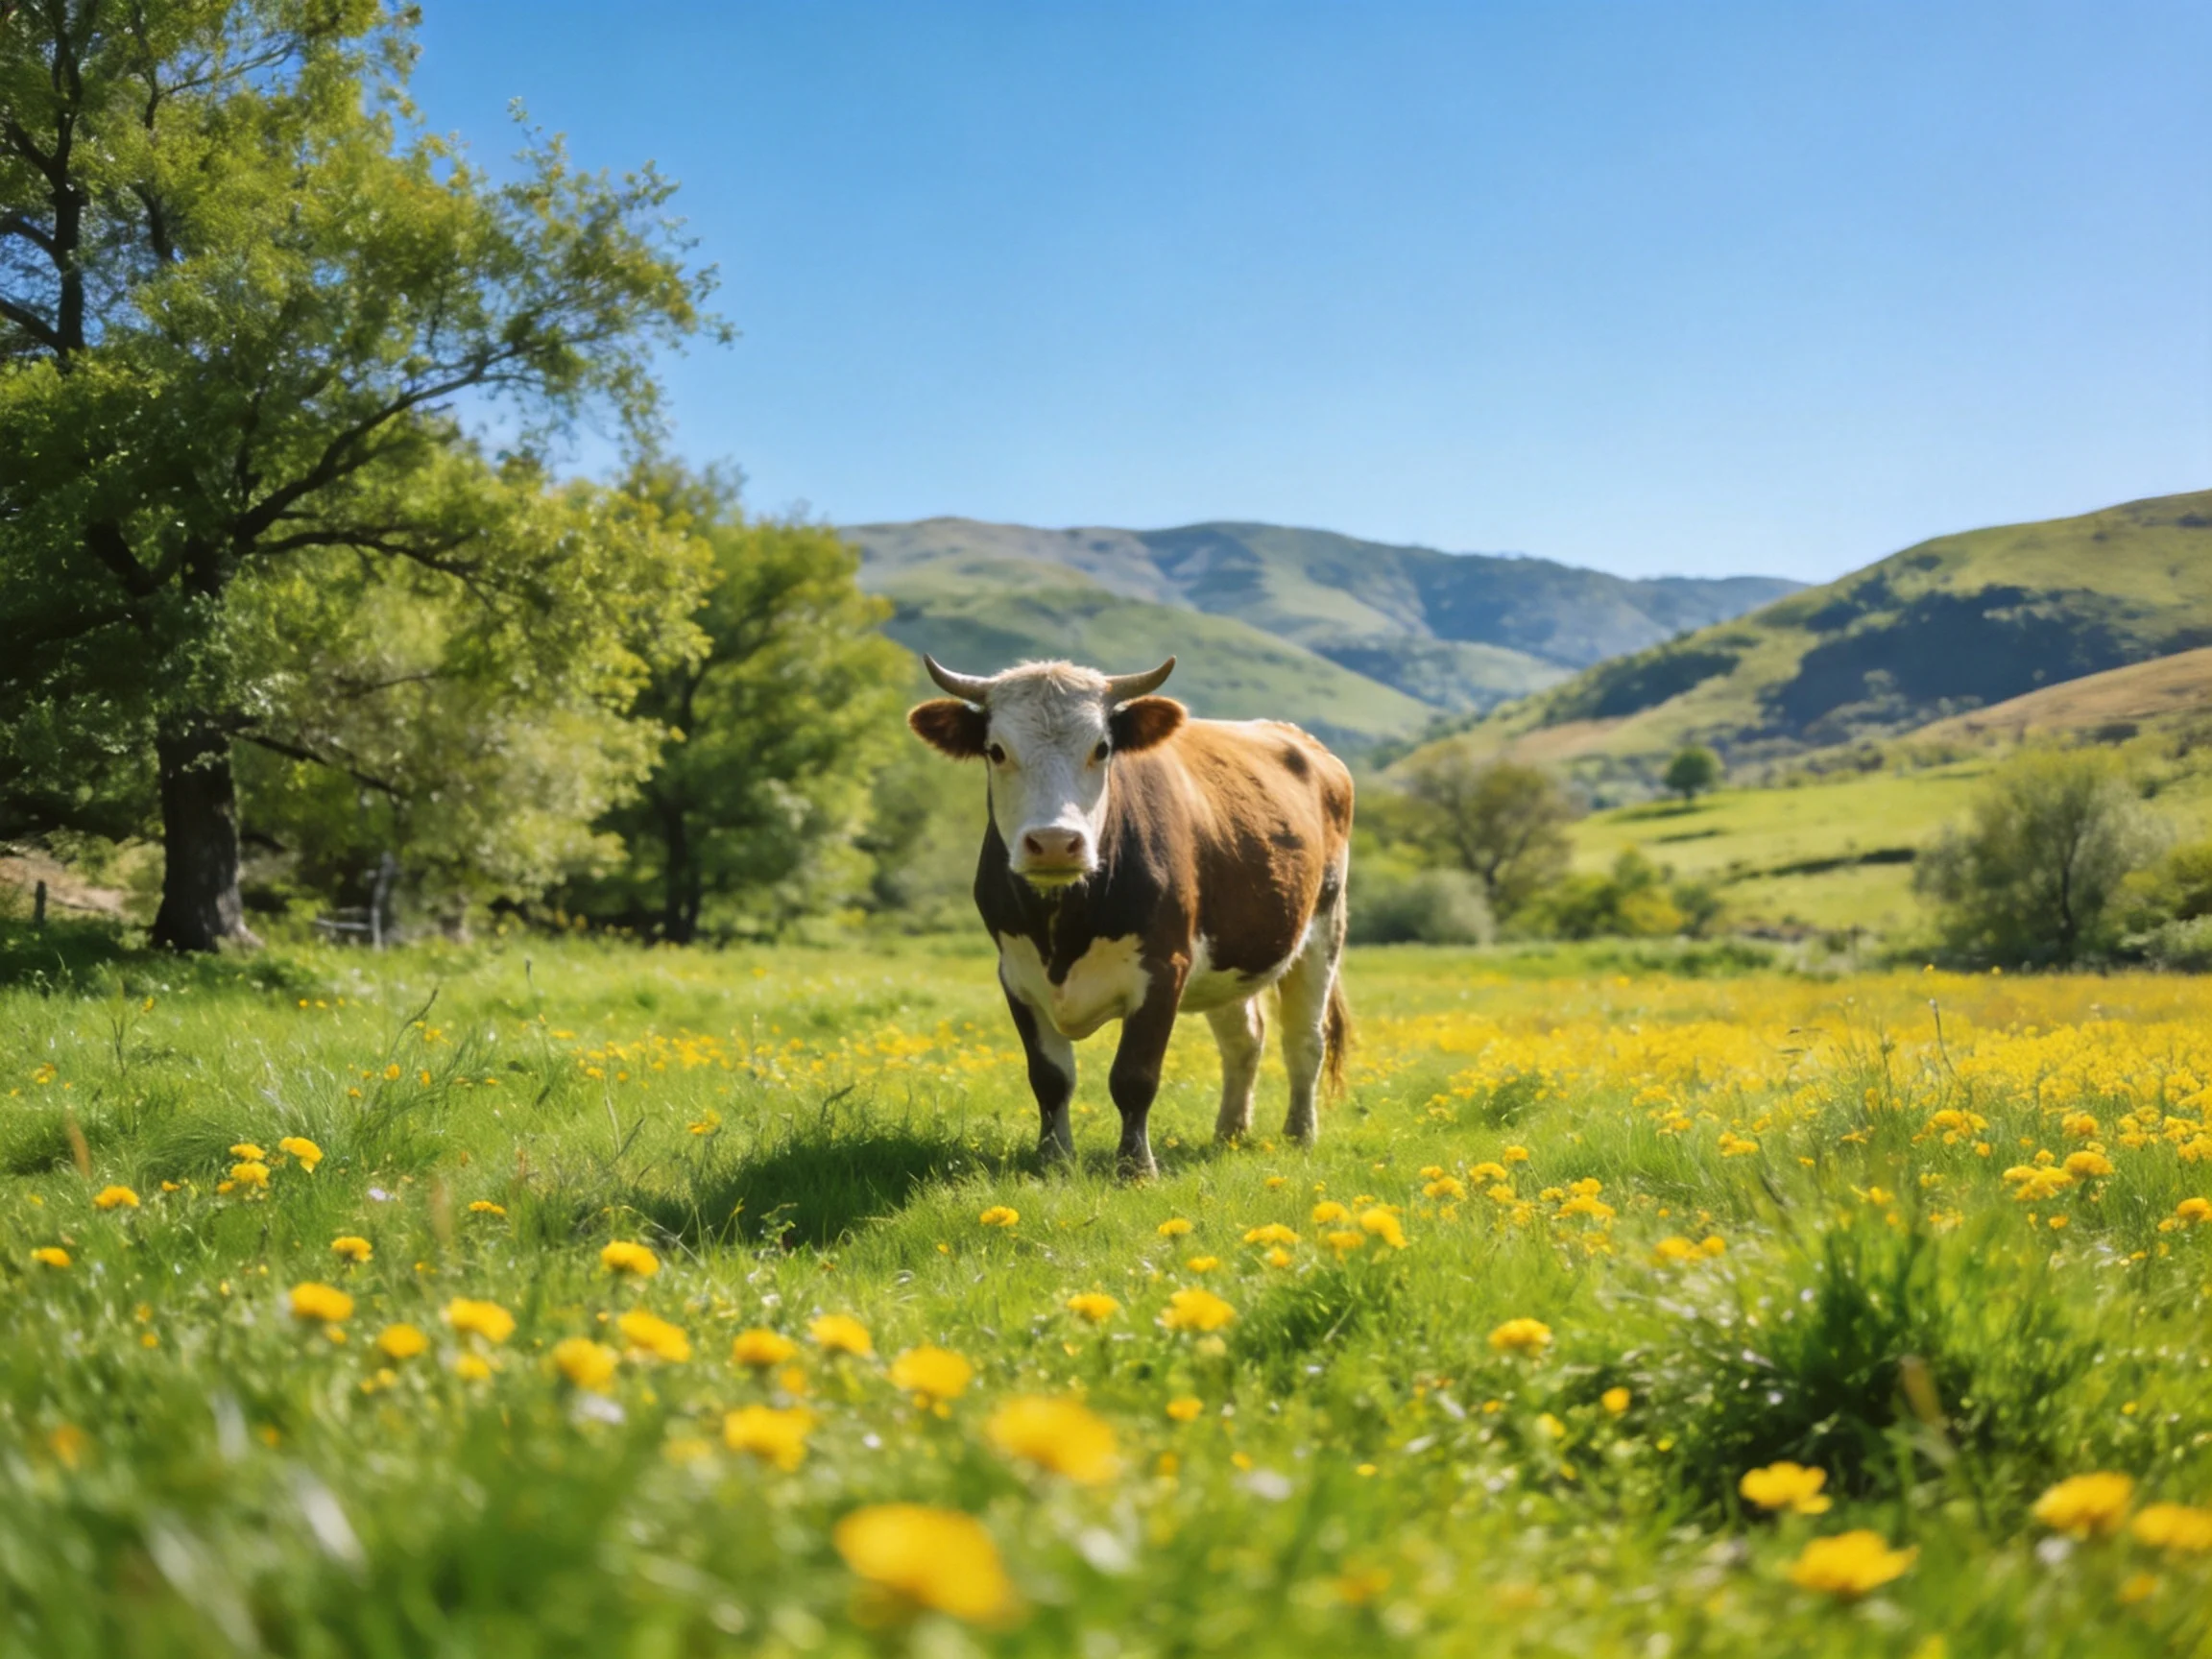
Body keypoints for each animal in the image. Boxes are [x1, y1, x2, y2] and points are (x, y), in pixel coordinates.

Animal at [907, 654, 1353, 1177]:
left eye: (1101, 748)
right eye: (996, 751)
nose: (1054, 842)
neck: (1064, 928)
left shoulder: (1164, 969)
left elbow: (1134, 1077)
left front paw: (1136, 1168)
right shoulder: (1016, 975)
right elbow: (1050, 1078)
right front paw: (1053, 1161)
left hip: (1323, 929)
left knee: (1305, 1039)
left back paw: (1299, 1134)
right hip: (1230, 956)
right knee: (1244, 1039)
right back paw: (1230, 1132)